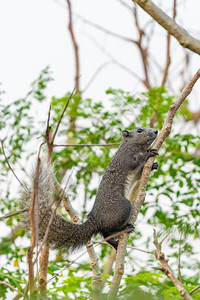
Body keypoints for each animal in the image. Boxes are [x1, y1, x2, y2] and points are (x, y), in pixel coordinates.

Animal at [21, 126, 159, 251]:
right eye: (139, 130)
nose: (156, 131)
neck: (131, 146)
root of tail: (96, 220)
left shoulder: (135, 172)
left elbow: (139, 174)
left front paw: (154, 165)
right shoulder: (125, 159)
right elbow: (135, 162)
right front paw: (148, 153)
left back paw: (115, 243)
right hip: (122, 207)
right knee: (107, 233)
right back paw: (124, 229)